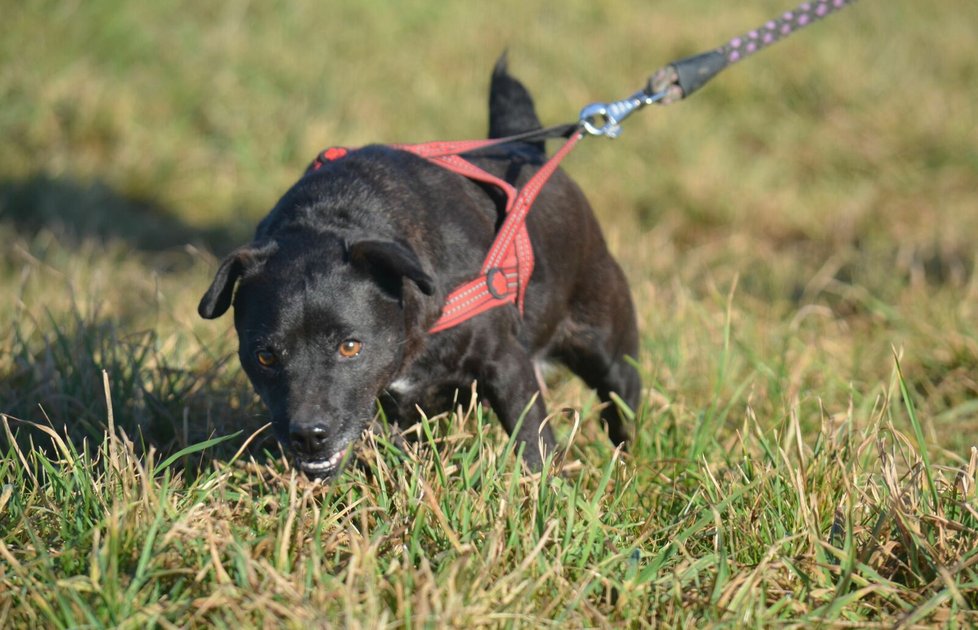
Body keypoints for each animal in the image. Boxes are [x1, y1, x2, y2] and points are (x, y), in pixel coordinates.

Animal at [198, 59, 640, 482]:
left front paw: (542, 489)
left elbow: (532, 441)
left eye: (350, 346)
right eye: (265, 356)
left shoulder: (507, 364)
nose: (308, 435)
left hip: (610, 351)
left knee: (621, 404)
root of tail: (525, 146)